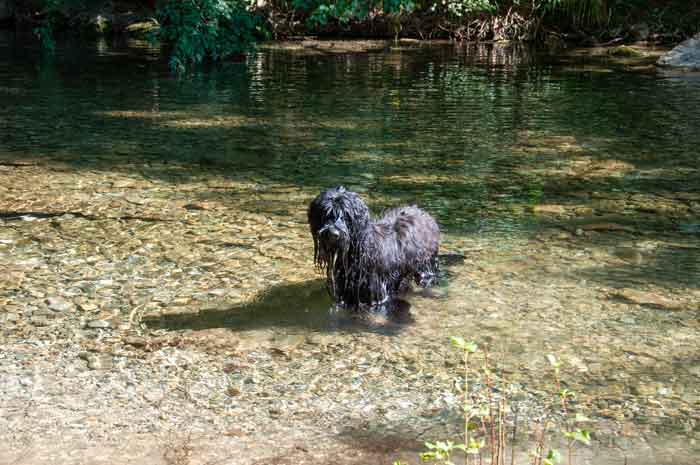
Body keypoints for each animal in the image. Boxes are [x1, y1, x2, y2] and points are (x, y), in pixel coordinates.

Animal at [308, 185, 440, 308]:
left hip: (425, 264)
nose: (333, 234)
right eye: (325, 214)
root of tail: (425, 214)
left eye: (347, 216)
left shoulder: (374, 290)